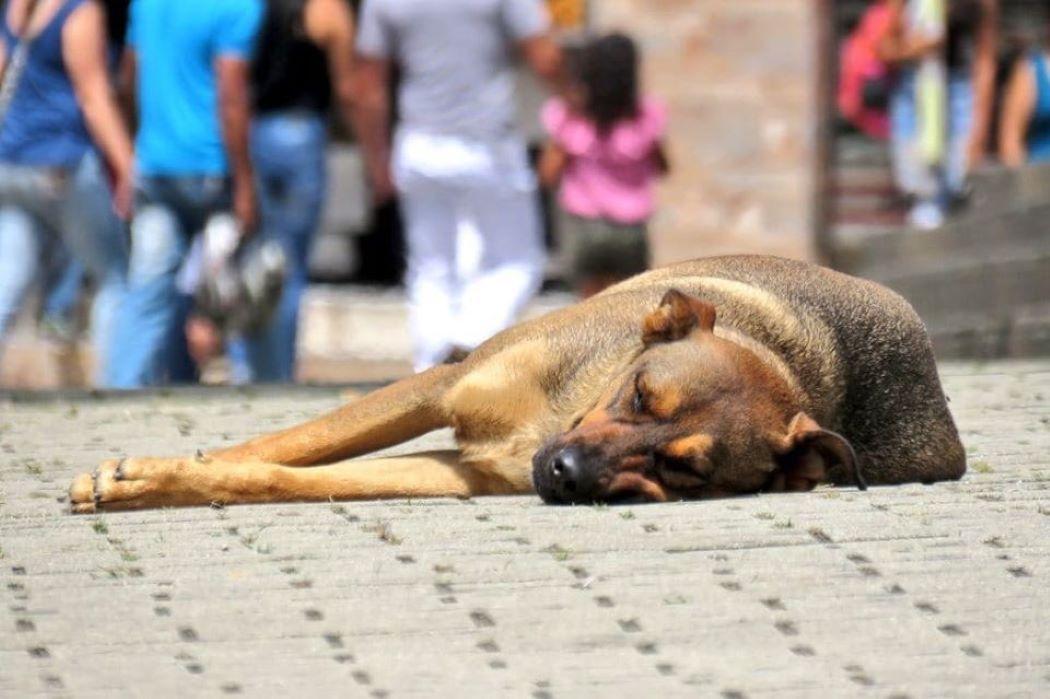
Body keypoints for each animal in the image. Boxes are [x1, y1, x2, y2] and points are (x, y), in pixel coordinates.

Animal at [67, 256, 965, 512]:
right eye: (641, 394)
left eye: (683, 467)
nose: (563, 474)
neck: (557, 414)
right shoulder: (442, 384)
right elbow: (289, 442)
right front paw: (146, 473)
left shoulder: (462, 472)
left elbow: (277, 475)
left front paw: (157, 480)